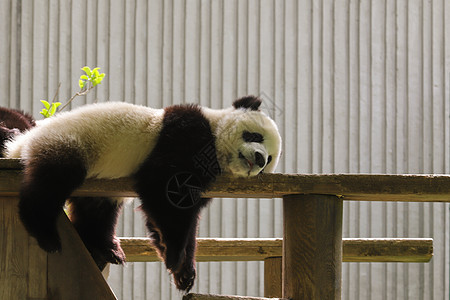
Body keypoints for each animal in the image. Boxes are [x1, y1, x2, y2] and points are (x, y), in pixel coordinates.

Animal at [4, 95, 282, 290]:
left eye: (269, 160)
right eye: (255, 135)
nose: (259, 159)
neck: (216, 140)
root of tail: (20, 144)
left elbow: (187, 216)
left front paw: (184, 272)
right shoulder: (185, 135)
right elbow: (162, 192)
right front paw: (173, 254)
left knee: (96, 210)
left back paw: (106, 248)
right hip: (68, 142)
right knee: (52, 182)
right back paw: (46, 234)